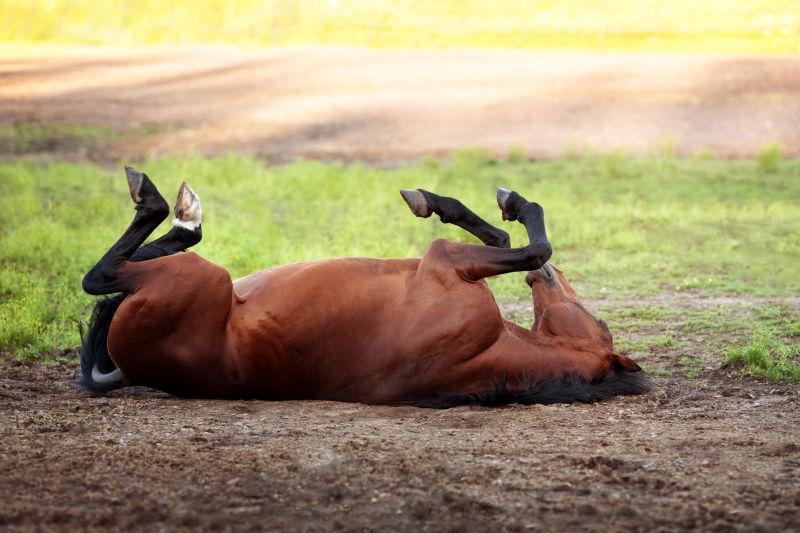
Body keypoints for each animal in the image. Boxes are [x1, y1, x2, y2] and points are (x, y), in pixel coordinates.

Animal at [76, 164, 648, 406]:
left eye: (600, 320)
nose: (552, 279)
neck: (486, 351)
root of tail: (130, 370)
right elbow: (506, 233)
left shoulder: (446, 261)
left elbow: (526, 241)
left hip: (200, 277)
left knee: (101, 276)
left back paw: (171, 208)